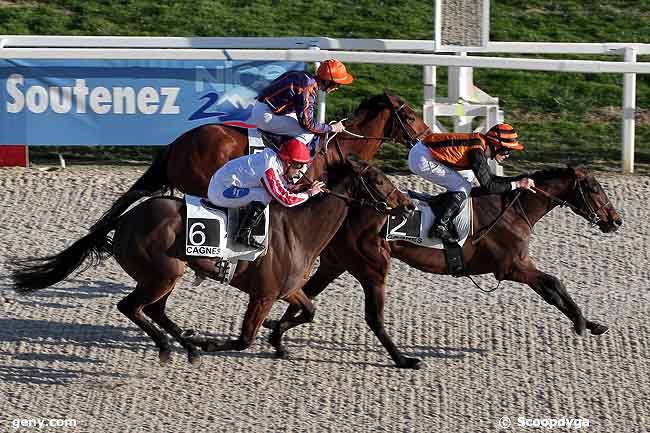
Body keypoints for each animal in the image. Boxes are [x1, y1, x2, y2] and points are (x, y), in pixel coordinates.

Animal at [11, 148, 416, 364]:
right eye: (378, 179)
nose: (408, 204)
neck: (301, 229)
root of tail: (125, 220)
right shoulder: (263, 294)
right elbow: (244, 339)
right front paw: (213, 343)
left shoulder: (288, 289)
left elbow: (310, 310)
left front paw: (279, 342)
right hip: (162, 273)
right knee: (131, 307)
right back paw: (172, 347)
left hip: (164, 275)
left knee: (153, 310)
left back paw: (187, 346)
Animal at [268, 164, 624, 366]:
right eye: (594, 188)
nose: (616, 220)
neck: (514, 209)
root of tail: (350, 206)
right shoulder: (512, 267)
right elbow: (553, 284)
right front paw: (581, 322)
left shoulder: (519, 264)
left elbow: (553, 285)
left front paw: (594, 324)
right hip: (372, 266)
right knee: (373, 317)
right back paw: (403, 359)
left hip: (336, 262)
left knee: (304, 293)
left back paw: (278, 336)